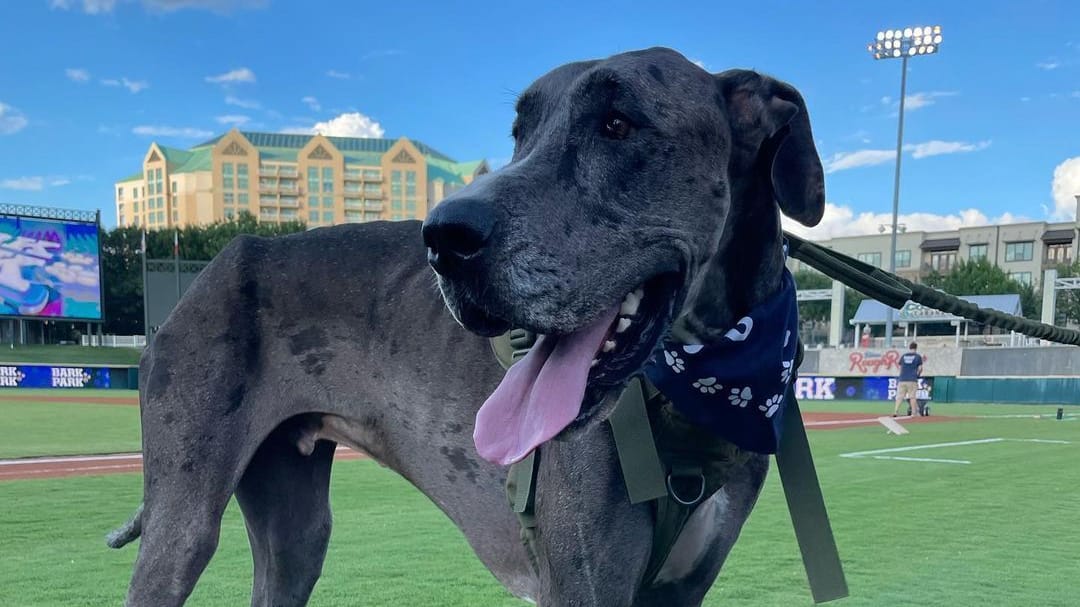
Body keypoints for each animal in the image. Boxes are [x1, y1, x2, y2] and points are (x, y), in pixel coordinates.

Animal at [109, 48, 820, 604]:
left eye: (618, 124)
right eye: (519, 136)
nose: (443, 239)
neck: (700, 387)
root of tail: (213, 268)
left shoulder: (679, 589)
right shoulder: (584, 586)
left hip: (296, 530)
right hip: (183, 524)